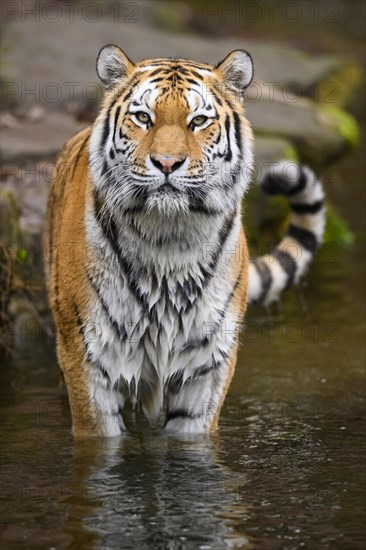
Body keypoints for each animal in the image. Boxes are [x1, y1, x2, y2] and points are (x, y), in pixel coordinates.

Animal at [46, 45, 326, 438]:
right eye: (143, 117)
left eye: (198, 121)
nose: (167, 163)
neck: (169, 238)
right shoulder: (87, 356)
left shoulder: (207, 364)